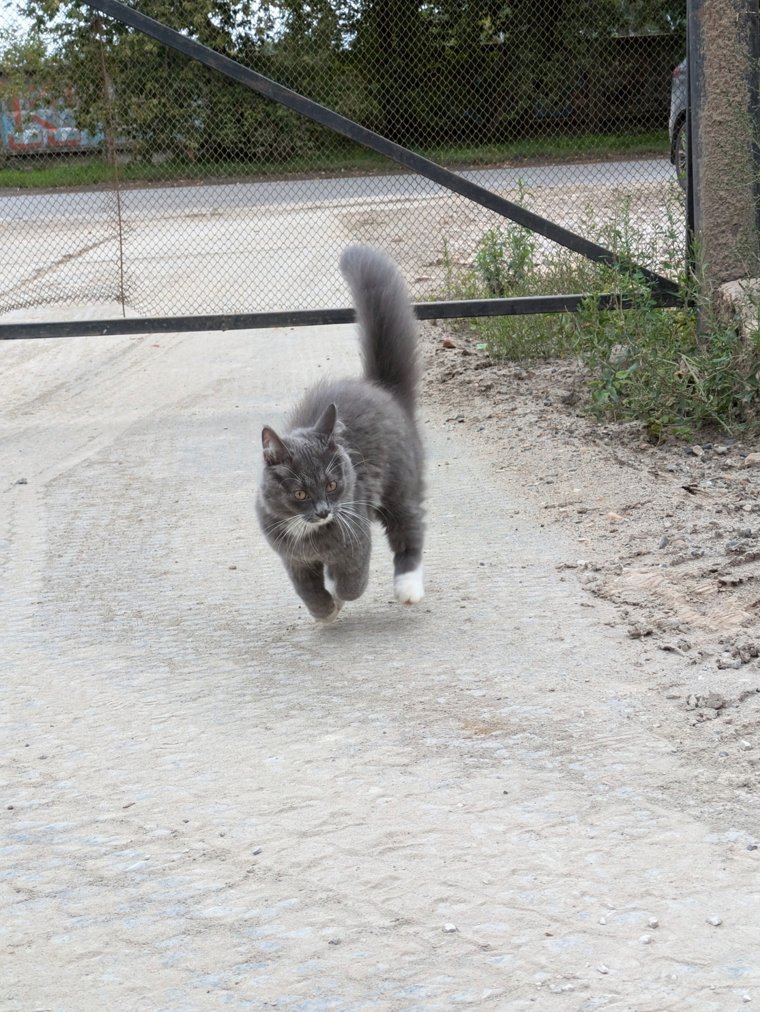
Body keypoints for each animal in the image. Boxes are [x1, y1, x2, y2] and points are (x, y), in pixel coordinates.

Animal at [254, 246, 423, 623]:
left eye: (331, 485)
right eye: (300, 493)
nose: (323, 511)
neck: (310, 535)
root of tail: (380, 388)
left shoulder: (354, 536)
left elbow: (351, 581)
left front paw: (339, 596)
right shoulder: (293, 559)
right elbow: (308, 591)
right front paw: (324, 610)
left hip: (399, 484)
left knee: (409, 528)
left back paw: (408, 588)